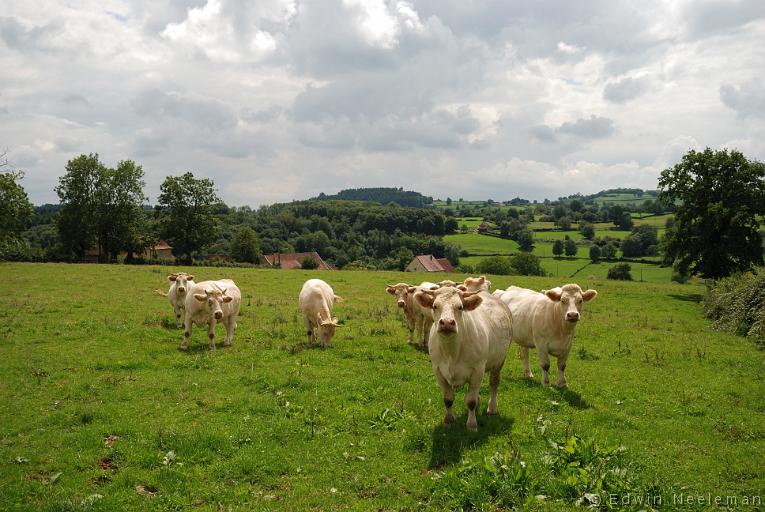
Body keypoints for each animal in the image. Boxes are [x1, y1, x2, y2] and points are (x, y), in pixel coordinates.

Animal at [414, 286, 510, 430]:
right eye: (435, 306)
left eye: (460, 307)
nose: (447, 323)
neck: (451, 352)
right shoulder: (438, 370)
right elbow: (448, 399)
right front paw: (448, 420)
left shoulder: (477, 370)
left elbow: (470, 401)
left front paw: (471, 425)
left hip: (499, 361)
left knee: (494, 383)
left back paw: (492, 408)